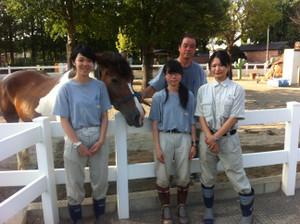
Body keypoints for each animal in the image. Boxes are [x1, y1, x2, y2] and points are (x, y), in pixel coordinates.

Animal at [0, 51, 145, 169]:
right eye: (114, 80)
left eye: (132, 79)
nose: (139, 115)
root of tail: (6, 78)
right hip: (11, 119)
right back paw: (22, 166)